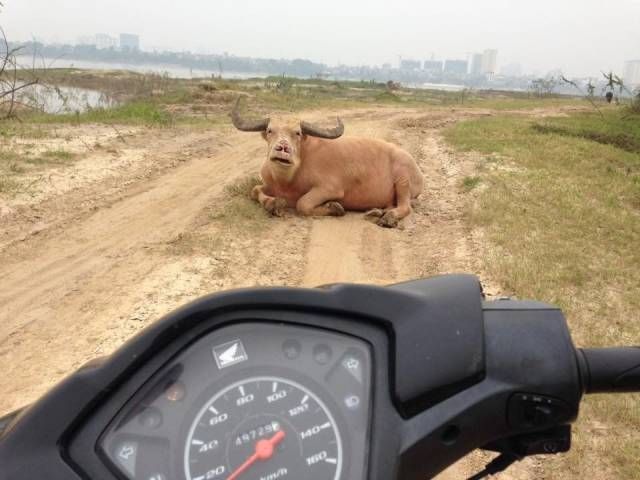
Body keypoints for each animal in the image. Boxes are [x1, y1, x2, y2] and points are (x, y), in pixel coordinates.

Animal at [232, 98, 422, 228]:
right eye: (270, 130)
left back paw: (389, 217)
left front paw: (334, 207)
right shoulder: (268, 184)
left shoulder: (330, 189)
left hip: (403, 180)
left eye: (297, 133)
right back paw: (377, 212)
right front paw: (274, 204)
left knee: (405, 206)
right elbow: (254, 190)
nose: (282, 148)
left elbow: (303, 204)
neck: (287, 179)